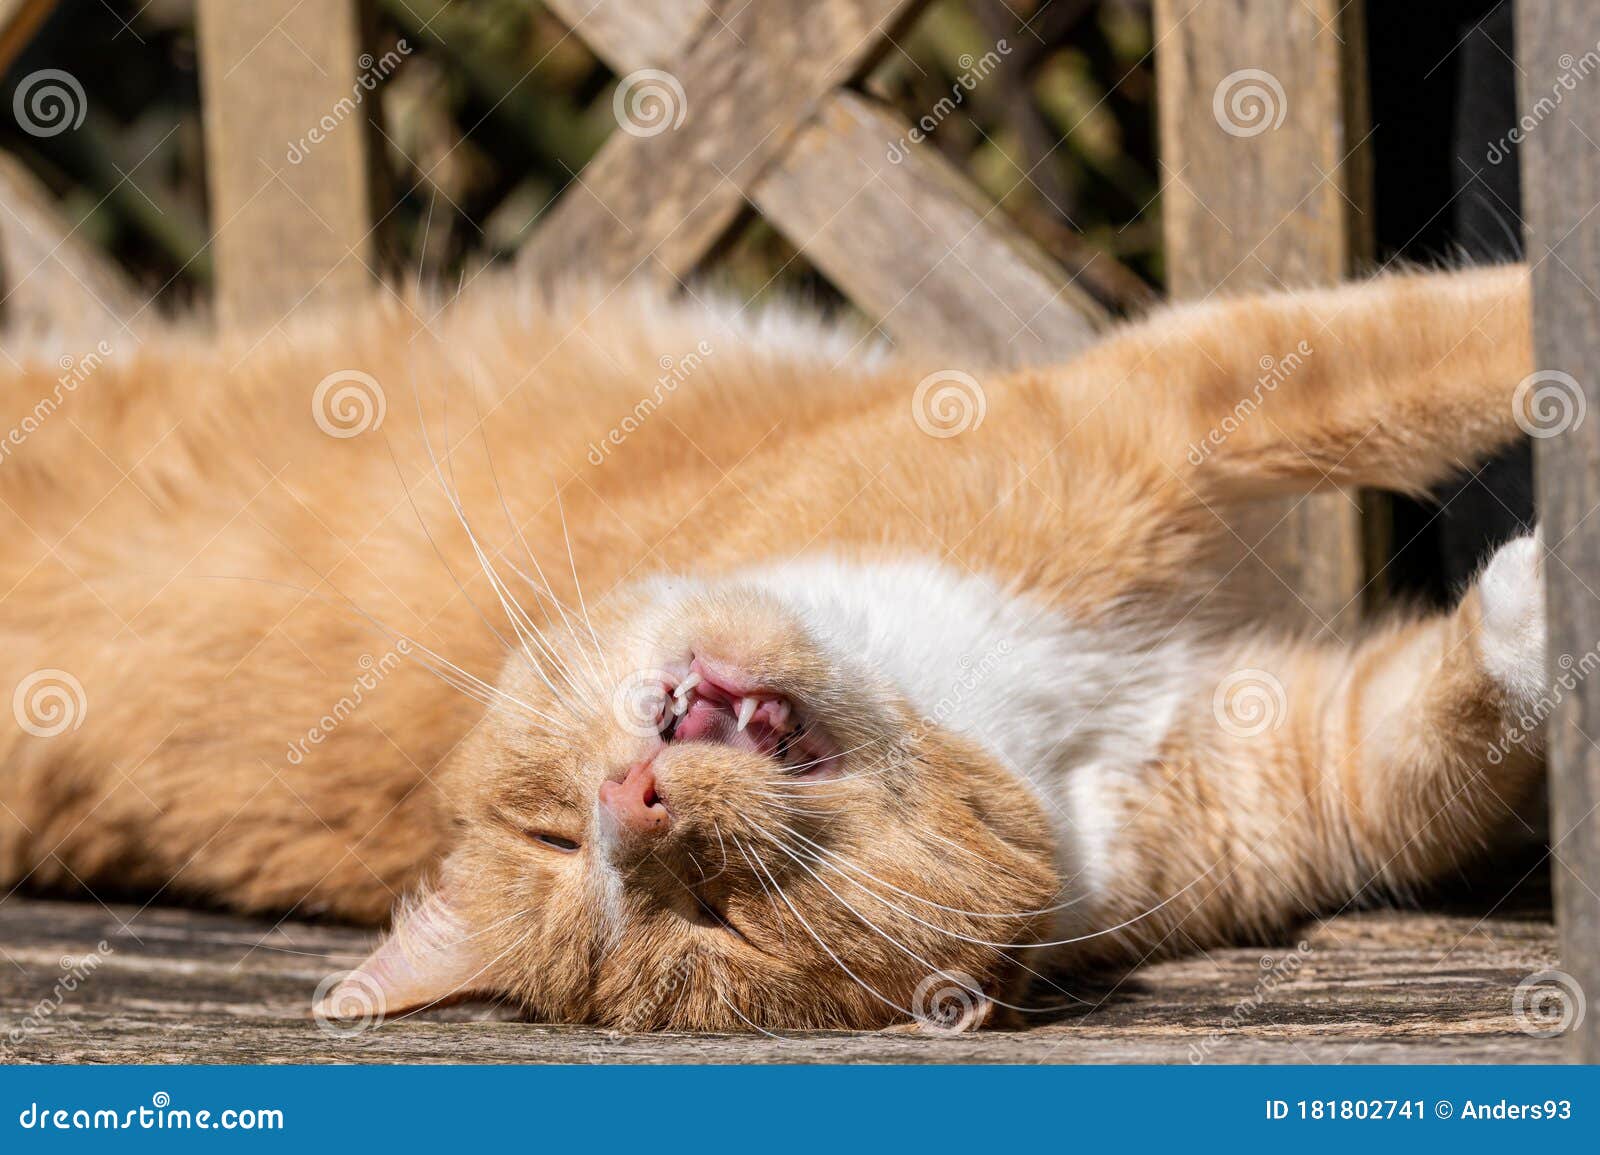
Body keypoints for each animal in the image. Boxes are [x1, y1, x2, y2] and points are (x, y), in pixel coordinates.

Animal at [0, 265, 1548, 1030]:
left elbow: (1444, 340)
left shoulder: (1173, 406)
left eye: (547, 829)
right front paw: (1538, 606)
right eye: (709, 918)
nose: (631, 799)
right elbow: (1427, 741)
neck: (1008, 712)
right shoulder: (1307, 762)